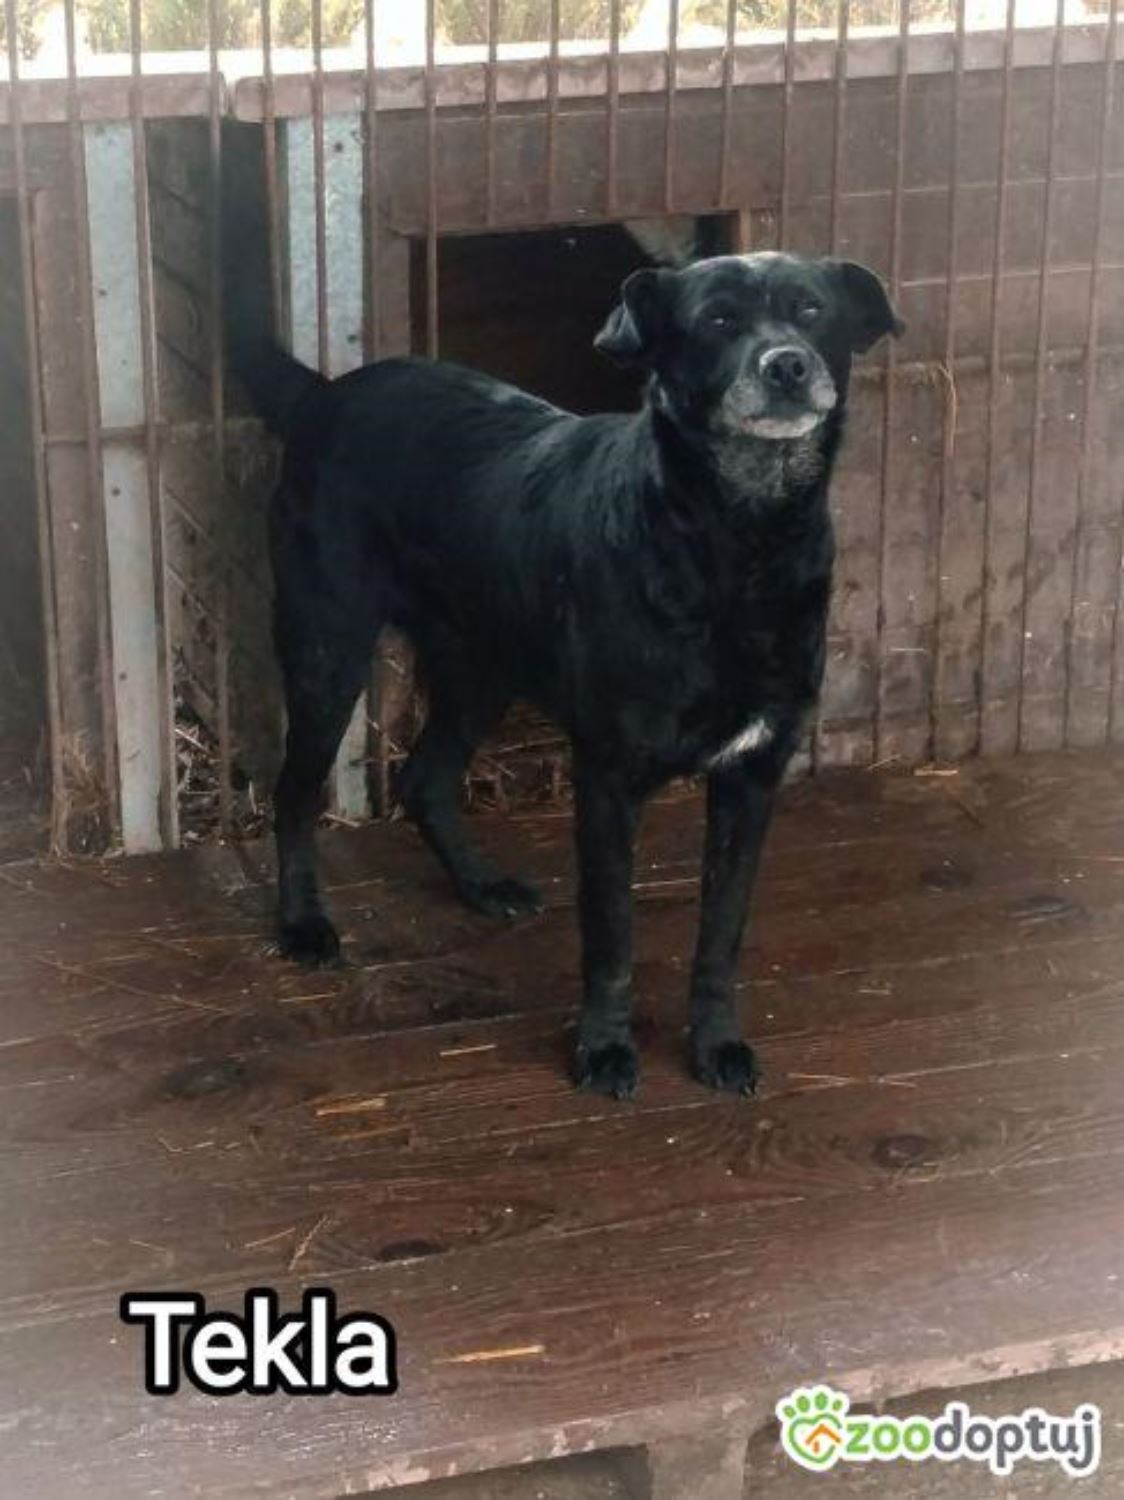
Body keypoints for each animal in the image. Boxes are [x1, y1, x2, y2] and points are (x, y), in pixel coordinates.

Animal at [236, 252, 902, 1098]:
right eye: (717, 320)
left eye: (812, 311)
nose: (786, 365)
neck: (737, 543)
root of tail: (326, 392)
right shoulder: (609, 780)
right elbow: (611, 935)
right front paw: (605, 1049)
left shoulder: (753, 776)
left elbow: (721, 933)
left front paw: (717, 1044)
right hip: (329, 648)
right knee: (294, 793)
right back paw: (304, 925)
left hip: (482, 664)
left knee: (425, 775)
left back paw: (481, 885)